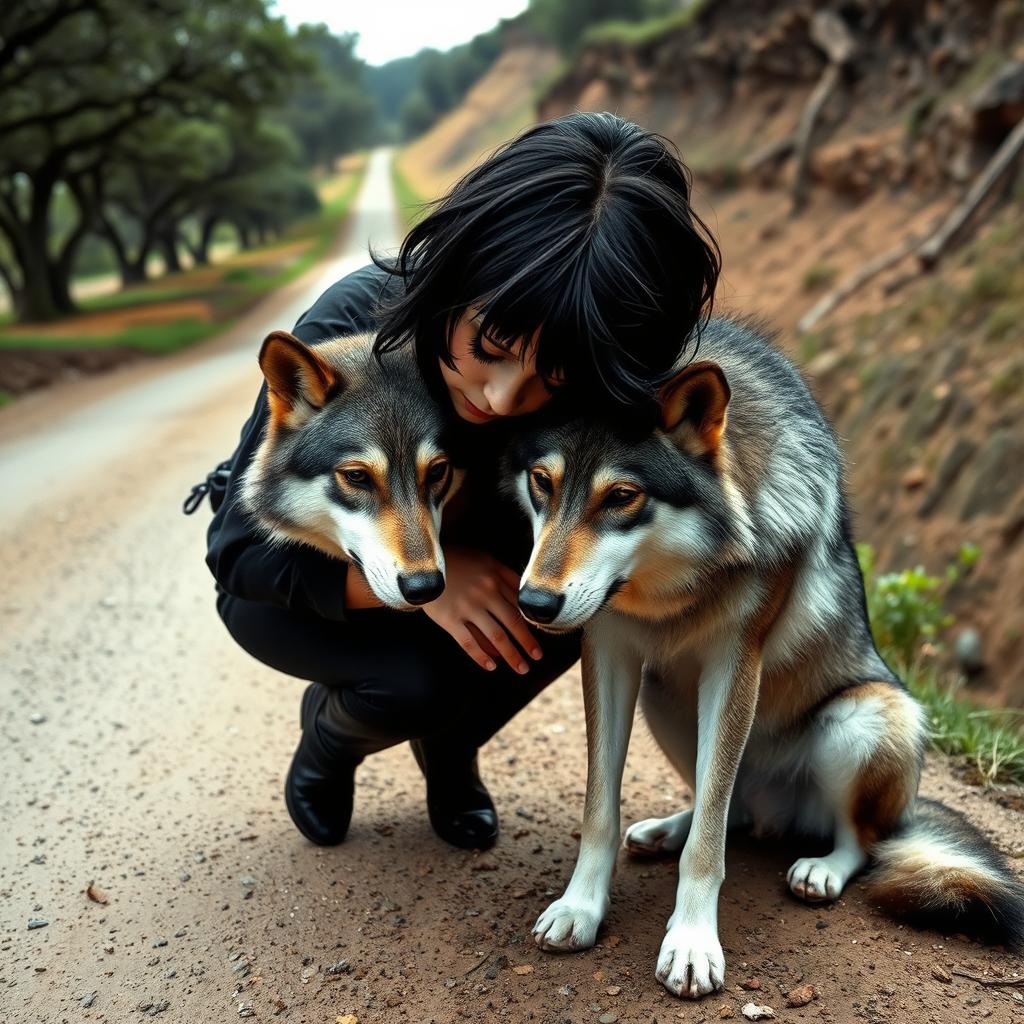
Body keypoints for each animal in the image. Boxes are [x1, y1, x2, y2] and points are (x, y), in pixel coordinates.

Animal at [505, 315, 1024, 995]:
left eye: (621, 497)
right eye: (543, 482)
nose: (534, 603)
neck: (674, 589)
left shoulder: (735, 663)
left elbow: (708, 848)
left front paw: (692, 944)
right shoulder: (609, 650)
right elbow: (602, 811)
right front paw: (579, 909)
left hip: (864, 717)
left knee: (851, 839)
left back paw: (819, 869)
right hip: (666, 698)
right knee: (726, 807)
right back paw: (668, 828)